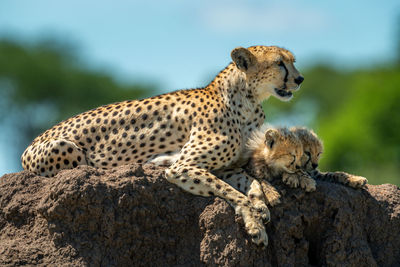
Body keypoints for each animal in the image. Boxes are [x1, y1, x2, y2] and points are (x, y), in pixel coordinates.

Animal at [21, 44, 304, 247]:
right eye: (280, 63)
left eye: (293, 61)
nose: (300, 79)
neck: (247, 99)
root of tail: (30, 144)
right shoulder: (183, 167)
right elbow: (231, 192)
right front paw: (255, 219)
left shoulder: (226, 168)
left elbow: (248, 183)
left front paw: (260, 208)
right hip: (67, 148)